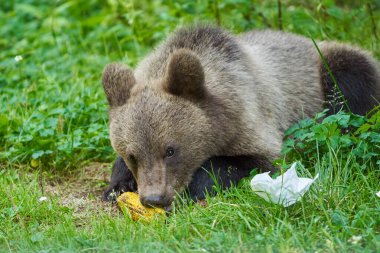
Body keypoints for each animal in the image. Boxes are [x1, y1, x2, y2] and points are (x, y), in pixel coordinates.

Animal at [101, 25, 380, 208]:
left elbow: (247, 161)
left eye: (170, 150)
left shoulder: (255, 118)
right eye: (132, 154)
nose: (154, 198)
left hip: (329, 69)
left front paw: (193, 188)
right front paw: (117, 186)